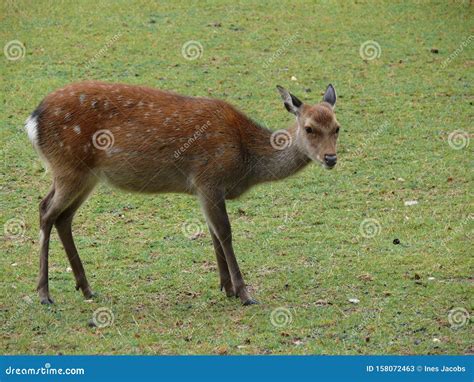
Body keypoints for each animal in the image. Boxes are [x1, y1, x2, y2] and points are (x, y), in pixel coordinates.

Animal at [25, 80, 338, 304]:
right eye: (309, 128)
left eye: (337, 127)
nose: (331, 158)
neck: (245, 161)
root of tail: (32, 121)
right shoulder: (209, 179)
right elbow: (225, 233)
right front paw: (244, 293)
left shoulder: (205, 190)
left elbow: (213, 233)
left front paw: (226, 287)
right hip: (69, 168)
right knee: (45, 211)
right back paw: (44, 294)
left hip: (84, 176)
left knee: (62, 216)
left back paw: (87, 288)